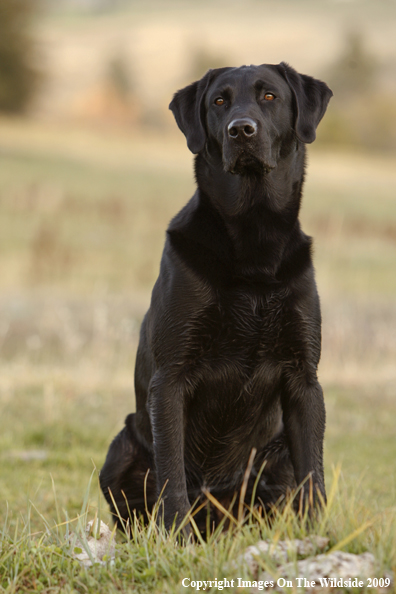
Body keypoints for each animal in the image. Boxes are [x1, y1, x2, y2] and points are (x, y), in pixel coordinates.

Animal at [99, 61, 332, 532]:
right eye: (219, 101)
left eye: (269, 96)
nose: (240, 130)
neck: (254, 238)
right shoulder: (170, 379)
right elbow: (171, 476)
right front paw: (175, 539)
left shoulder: (304, 379)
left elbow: (312, 477)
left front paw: (318, 537)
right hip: (121, 448)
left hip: (275, 454)